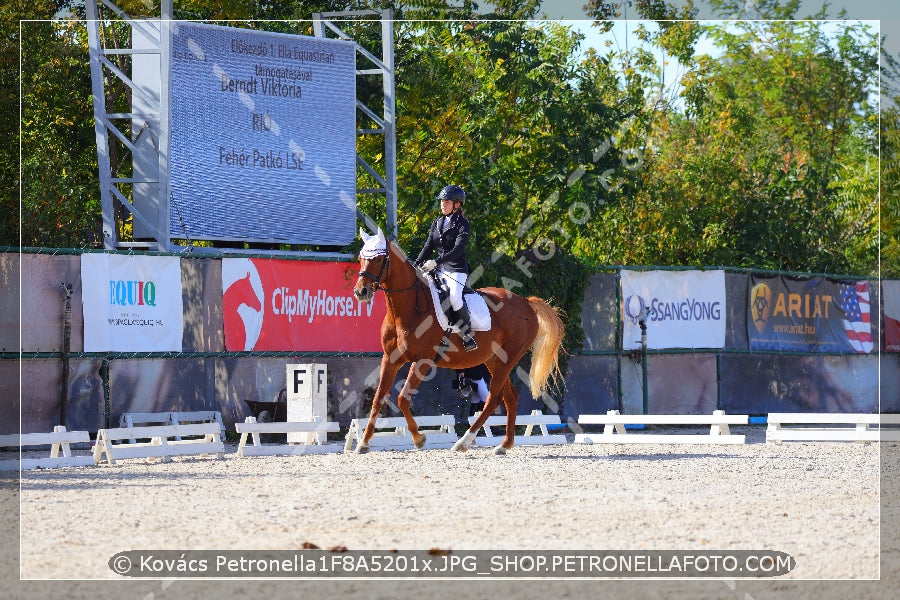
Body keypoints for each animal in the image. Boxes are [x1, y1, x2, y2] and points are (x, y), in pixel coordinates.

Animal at [352, 230, 564, 454]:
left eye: (378, 259)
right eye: (360, 258)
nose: (361, 292)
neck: (407, 310)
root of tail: (527, 304)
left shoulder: (422, 362)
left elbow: (402, 398)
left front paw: (419, 438)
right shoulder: (390, 359)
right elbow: (378, 399)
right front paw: (363, 443)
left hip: (507, 360)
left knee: (493, 399)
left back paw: (464, 441)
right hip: (494, 360)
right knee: (510, 398)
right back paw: (504, 445)